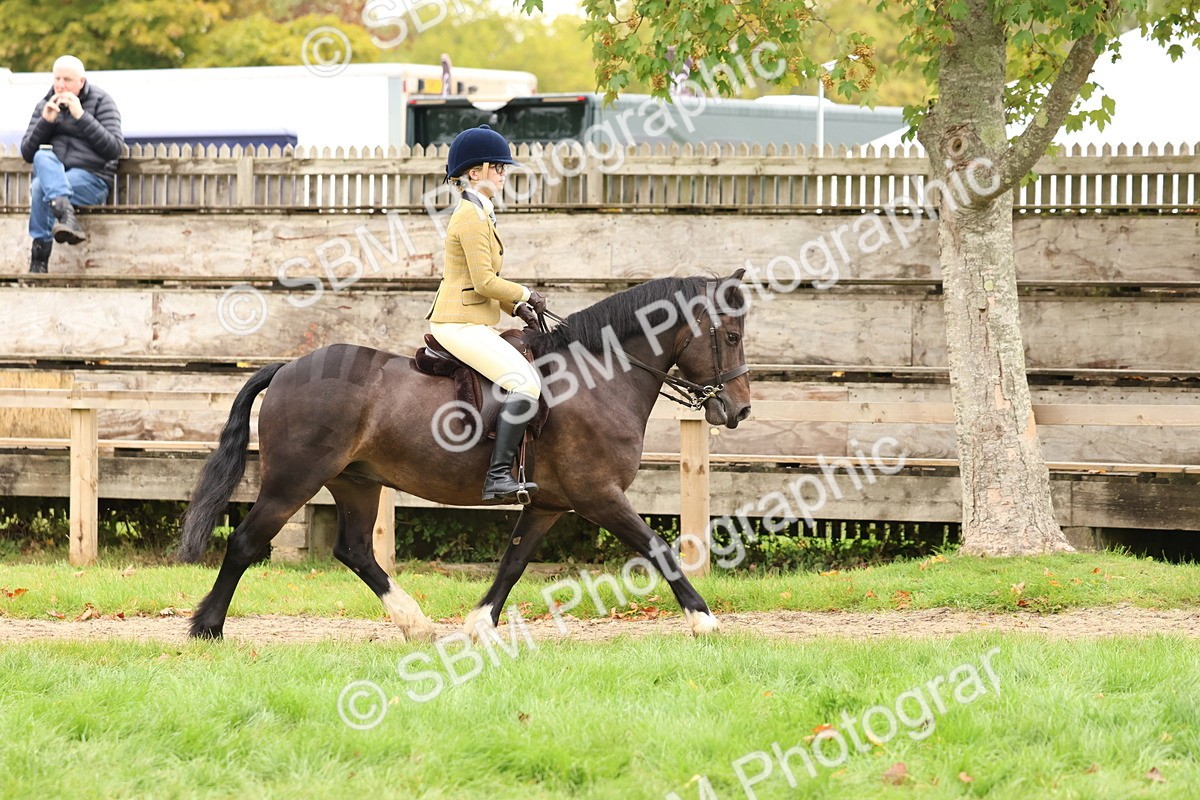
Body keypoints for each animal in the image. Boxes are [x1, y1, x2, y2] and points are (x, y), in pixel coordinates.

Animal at [178, 270, 752, 640]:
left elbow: (514, 561)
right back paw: (208, 628)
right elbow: (658, 548)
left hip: (357, 481)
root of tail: (288, 367)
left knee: (355, 550)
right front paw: (703, 620)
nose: (739, 410)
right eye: (730, 335)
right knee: (246, 542)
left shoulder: (548, 505)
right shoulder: (599, 496)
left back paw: (416, 625)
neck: (599, 378)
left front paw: (480, 624)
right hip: (294, 482)